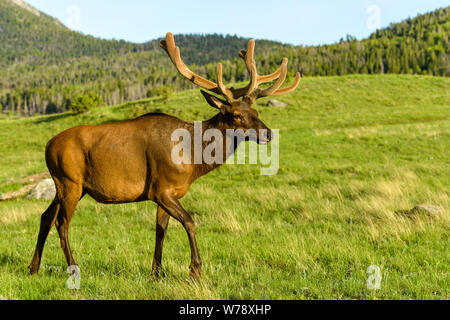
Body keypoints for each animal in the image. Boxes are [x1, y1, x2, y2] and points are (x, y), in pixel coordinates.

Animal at [29, 31, 302, 278]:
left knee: (45, 217)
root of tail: (48, 146)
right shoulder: (161, 189)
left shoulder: (166, 192)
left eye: (255, 111)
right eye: (236, 115)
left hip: (67, 185)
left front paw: (157, 272)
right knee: (61, 222)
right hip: (70, 182)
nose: (268, 134)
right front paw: (195, 269)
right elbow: (190, 222)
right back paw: (73, 268)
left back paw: (34, 268)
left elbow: (161, 229)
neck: (193, 159)